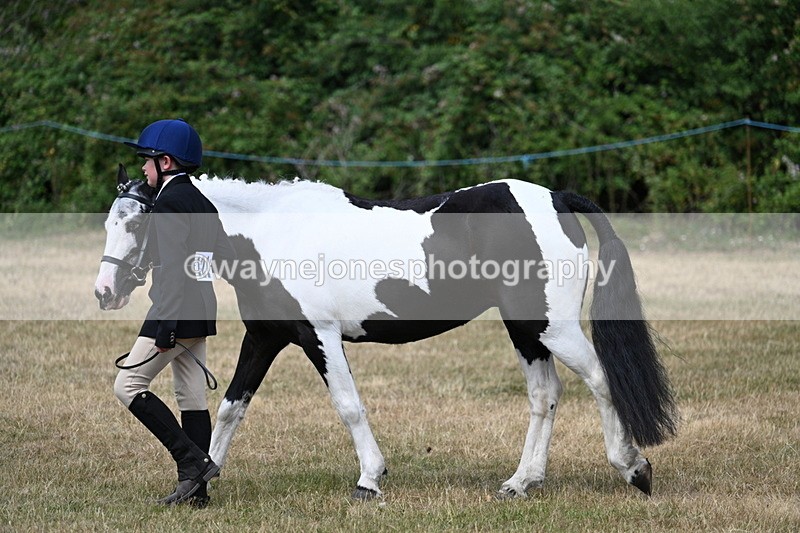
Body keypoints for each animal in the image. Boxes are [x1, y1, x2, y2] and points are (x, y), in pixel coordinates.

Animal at [95, 164, 677, 499]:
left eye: (138, 222)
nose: (106, 291)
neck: (274, 231)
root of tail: (556, 198)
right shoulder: (265, 337)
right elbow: (231, 407)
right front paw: (199, 481)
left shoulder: (319, 336)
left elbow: (349, 406)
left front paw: (369, 480)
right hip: (526, 329)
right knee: (545, 394)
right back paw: (521, 482)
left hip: (551, 327)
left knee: (601, 380)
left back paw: (634, 469)